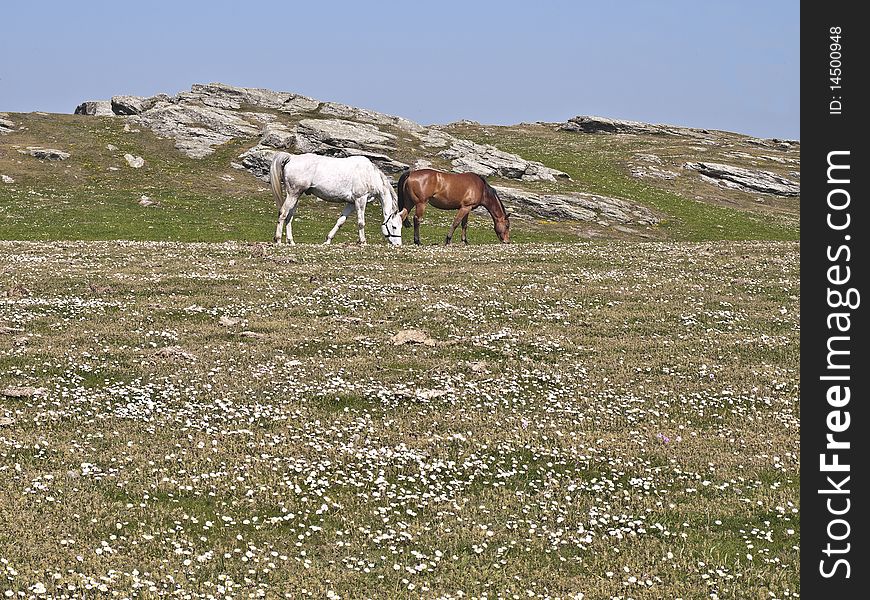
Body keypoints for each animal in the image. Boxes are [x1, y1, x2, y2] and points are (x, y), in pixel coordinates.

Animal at [270, 152, 406, 246]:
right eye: (394, 226)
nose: (398, 245)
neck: (370, 175)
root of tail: (292, 157)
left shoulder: (351, 203)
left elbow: (340, 221)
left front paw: (328, 240)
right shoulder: (360, 200)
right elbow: (361, 222)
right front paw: (363, 242)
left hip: (296, 196)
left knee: (289, 216)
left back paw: (291, 241)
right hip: (293, 194)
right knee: (283, 213)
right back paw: (278, 240)